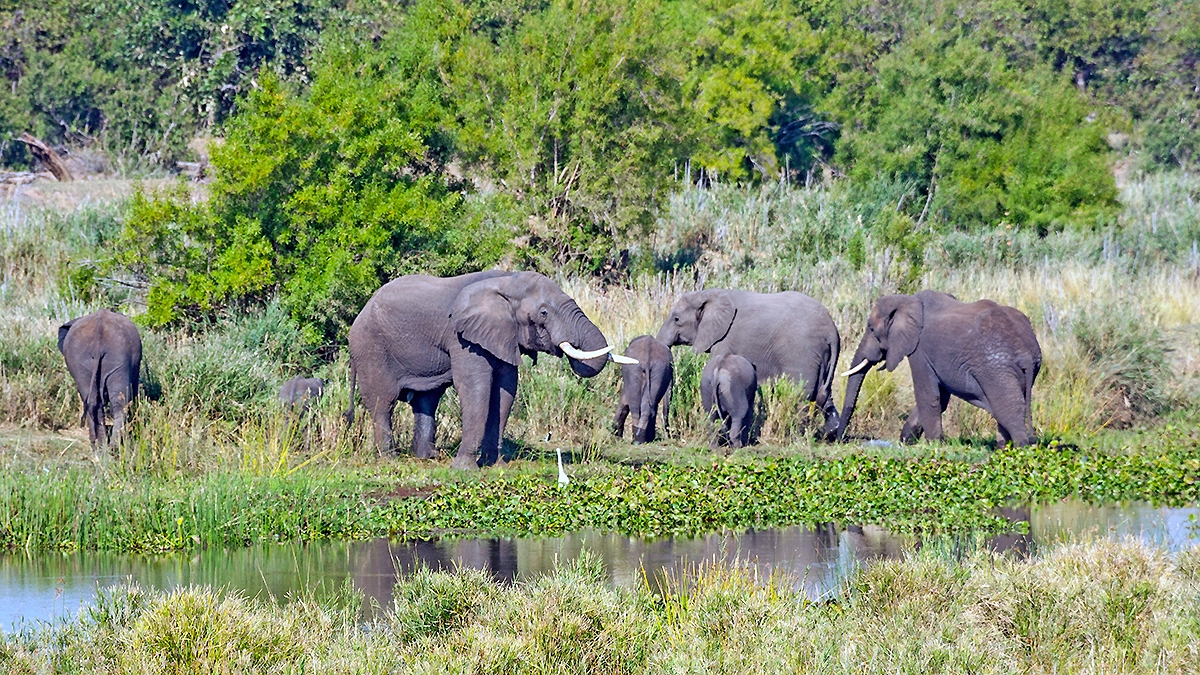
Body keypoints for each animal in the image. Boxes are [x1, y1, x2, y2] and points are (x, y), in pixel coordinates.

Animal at [57, 309, 142, 447]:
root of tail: (98, 337)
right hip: (115, 357)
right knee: (117, 402)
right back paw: (110, 447)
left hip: (93, 358)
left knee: (97, 402)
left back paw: (102, 447)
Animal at [345, 271, 632, 469]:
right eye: (544, 313)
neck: (505, 281)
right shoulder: (462, 337)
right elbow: (476, 386)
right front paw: (464, 469)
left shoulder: (503, 334)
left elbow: (505, 390)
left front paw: (494, 464)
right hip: (370, 348)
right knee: (383, 402)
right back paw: (389, 459)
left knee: (427, 400)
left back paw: (428, 457)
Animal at [656, 289, 841, 440]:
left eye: (677, 319)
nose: (670, 433)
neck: (708, 294)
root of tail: (832, 332)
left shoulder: (725, 338)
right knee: (823, 392)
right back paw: (830, 431)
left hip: (801, 353)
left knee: (801, 394)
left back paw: (796, 436)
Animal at [838, 290, 1042, 446]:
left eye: (871, 329)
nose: (838, 439)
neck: (907, 300)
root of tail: (1025, 353)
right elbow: (940, 398)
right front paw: (907, 441)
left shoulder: (919, 349)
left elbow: (928, 396)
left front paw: (933, 444)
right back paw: (1002, 448)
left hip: (995, 368)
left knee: (1008, 408)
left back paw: (1021, 447)